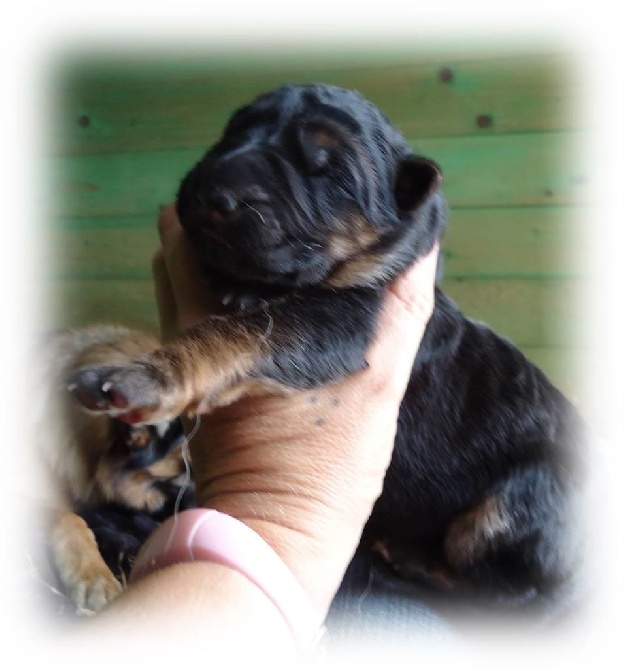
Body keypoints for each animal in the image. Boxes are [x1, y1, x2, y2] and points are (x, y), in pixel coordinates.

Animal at [69, 85, 588, 620]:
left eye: (331, 172)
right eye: (233, 132)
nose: (214, 195)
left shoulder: (341, 324)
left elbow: (237, 333)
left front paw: (142, 378)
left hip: (508, 510)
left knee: (505, 592)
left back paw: (410, 562)